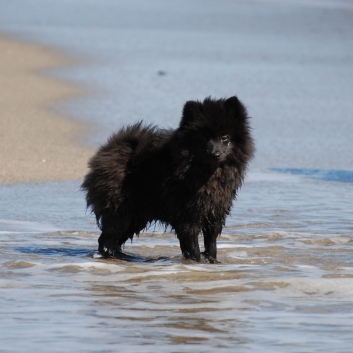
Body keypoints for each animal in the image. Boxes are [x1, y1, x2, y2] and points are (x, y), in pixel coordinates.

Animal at [81, 96, 254, 262]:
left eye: (224, 137)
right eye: (203, 138)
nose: (215, 153)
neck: (207, 175)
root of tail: (110, 150)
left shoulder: (215, 215)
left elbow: (211, 246)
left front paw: (212, 261)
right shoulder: (187, 218)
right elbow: (193, 248)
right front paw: (196, 262)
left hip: (136, 218)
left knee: (114, 240)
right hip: (120, 213)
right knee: (106, 240)